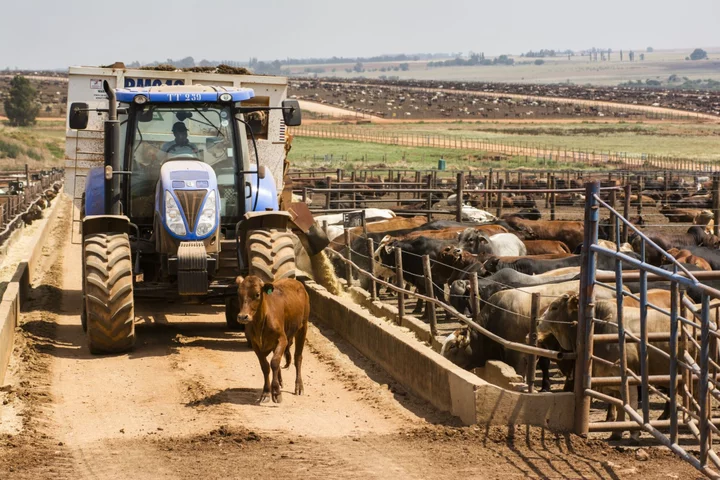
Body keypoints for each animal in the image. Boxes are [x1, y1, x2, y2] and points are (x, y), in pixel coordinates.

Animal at [236, 276, 310, 404]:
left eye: (257, 294)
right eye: (239, 294)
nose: (242, 316)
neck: (261, 322)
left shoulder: (282, 339)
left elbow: (274, 363)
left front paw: (276, 392)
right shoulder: (256, 345)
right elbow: (265, 366)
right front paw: (266, 392)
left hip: (303, 327)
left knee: (298, 358)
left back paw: (299, 387)